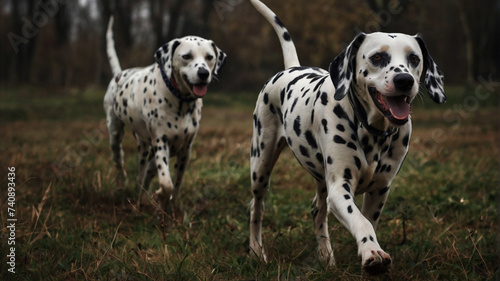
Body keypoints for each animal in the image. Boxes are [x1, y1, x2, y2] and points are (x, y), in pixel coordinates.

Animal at [103, 16, 227, 211]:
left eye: (209, 57)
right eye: (186, 56)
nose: (203, 72)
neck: (181, 101)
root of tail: (119, 74)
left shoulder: (185, 150)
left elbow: (176, 184)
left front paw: (169, 205)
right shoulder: (161, 142)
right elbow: (166, 183)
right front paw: (160, 195)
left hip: (148, 149)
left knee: (145, 173)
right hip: (117, 137)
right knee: (122, 163)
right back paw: (124, 185)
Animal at [249, 0, 446, 272]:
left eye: (414, 58)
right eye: (377, 57)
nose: (404, 80)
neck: (374, 132)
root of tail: (291, 68)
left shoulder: (380, 189)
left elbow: (369, 220)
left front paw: (367, 249)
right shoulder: (340, 188)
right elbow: (360, 221)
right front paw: (372, 251)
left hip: (320, 179)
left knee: (317, 209)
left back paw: (325, 256)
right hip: (261, 166)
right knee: (256, 207)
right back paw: (256, 251)